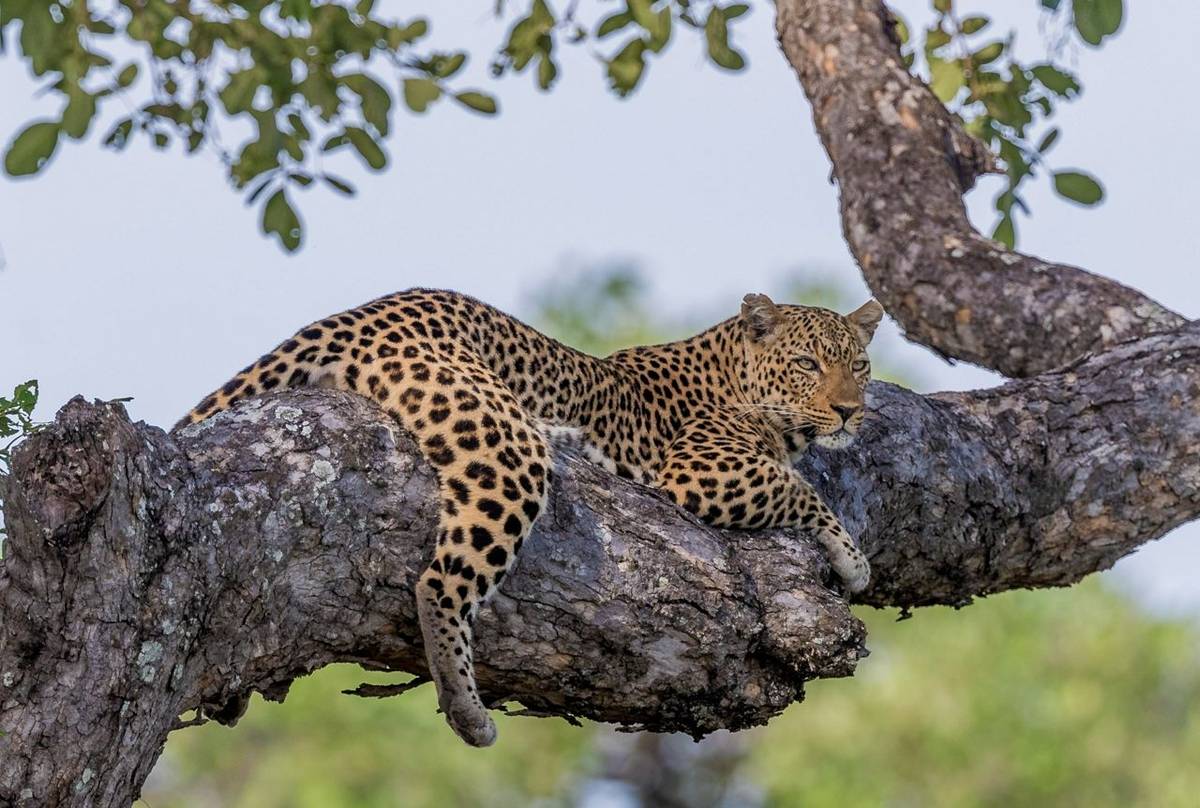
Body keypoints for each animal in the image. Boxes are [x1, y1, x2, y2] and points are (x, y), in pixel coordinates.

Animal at [177, 288, 884, 748]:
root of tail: (356, 314)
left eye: (859, 364)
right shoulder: (699, 471)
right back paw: (468, 712)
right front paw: (852, 559)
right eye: (807, 364)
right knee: (438, 582)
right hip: (503, 445)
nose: (850, 410)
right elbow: (800, 489)